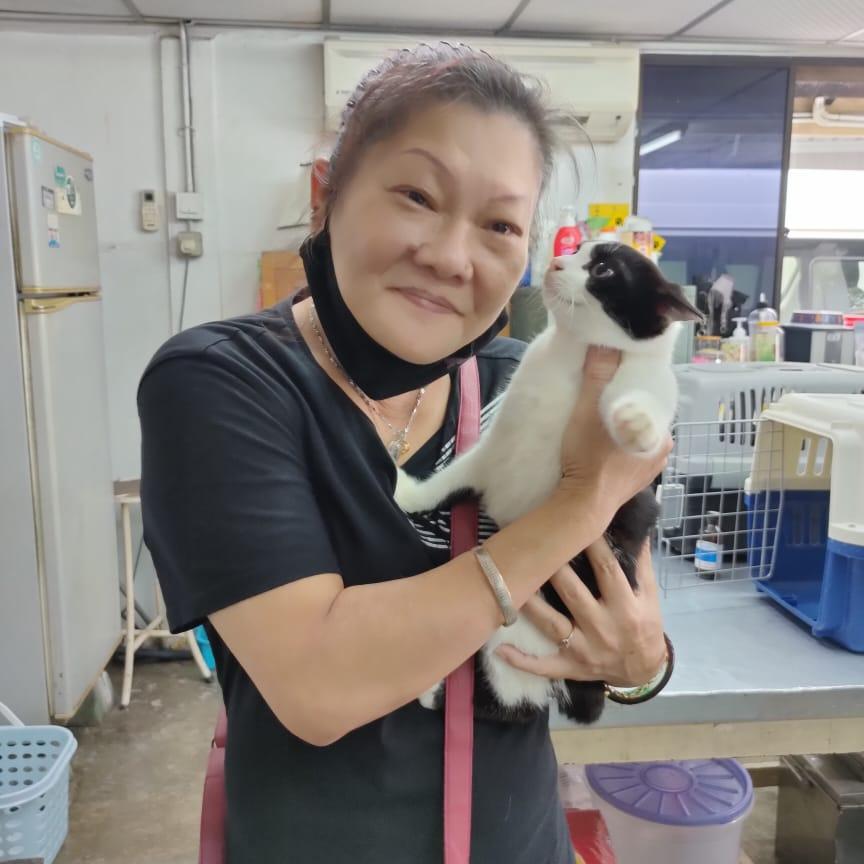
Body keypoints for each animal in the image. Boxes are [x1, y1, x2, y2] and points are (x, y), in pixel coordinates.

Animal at [394, 241, 702, 725]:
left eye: (603, 269)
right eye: (576, 249)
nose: (556, 263)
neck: (570, 353)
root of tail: (586, 686)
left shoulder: (643, 385)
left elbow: (652, 395)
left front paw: (637, 422)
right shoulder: (497, 443)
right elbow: (456, 473)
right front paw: (409, 493)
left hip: (514, 642)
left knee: (505, 697)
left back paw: (432, 691)